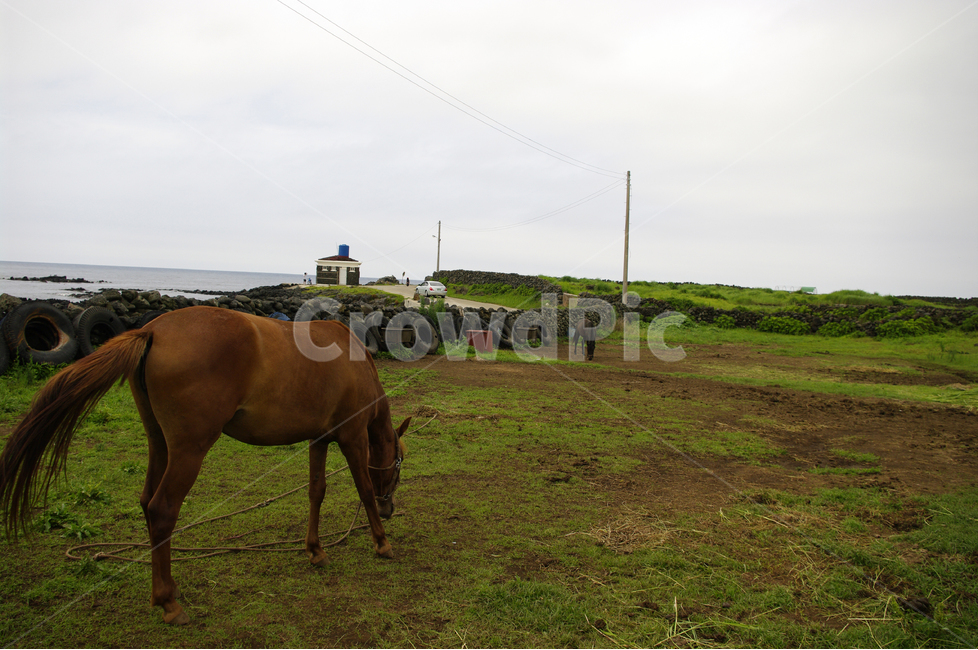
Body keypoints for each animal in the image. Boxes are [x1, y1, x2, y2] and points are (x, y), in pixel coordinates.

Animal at [0, 306, 409, 625]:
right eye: (399, 466)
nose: (391, 510)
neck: (352, 360)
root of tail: (154, 330)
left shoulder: (318, 439)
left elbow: (316, 492)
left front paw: (315, 550)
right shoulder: (352, 437)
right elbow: (363, 489)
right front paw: (381, 542)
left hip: (160, 443)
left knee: (147, 502)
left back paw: (162, 592)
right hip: (189, 450)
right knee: (162, 509)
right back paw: (169, 602)